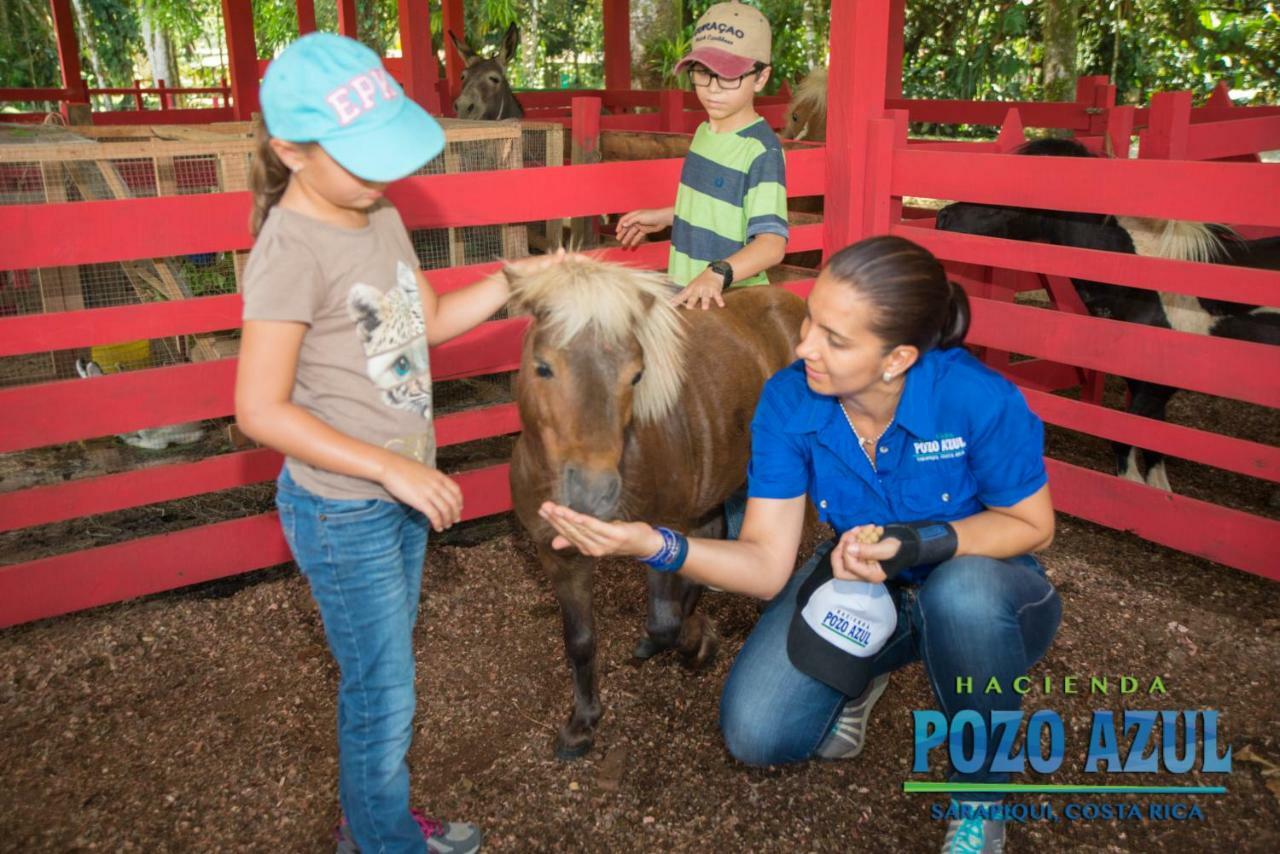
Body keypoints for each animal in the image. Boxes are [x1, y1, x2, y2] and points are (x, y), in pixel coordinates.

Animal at [506, 256, 798, 763]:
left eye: (636, 376)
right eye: (543, 367)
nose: (593, 494)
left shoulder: (664, 531)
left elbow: (664, 624)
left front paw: (697, 643)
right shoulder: (557, 556)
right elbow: (580, 641)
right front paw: (582, 723)